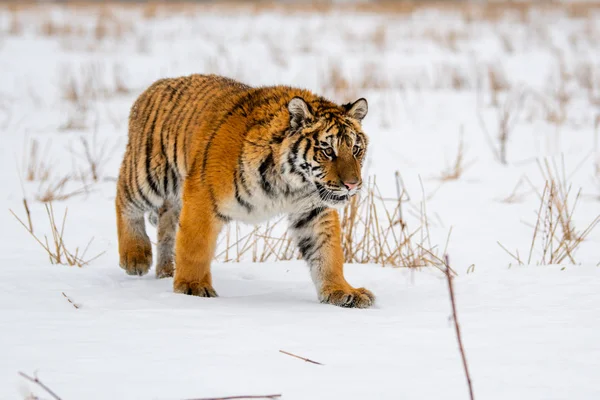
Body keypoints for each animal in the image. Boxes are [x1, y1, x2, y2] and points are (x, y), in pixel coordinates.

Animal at [114, 73, 372, 308]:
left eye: (356, 149)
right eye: (328, 151)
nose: (352, 184)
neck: (291, 184)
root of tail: (155, 86)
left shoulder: (313, 211)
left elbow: (328, 252)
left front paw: (342, 291)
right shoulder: (201, 196)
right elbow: (195, 247)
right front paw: (192, 288)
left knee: (166, 228)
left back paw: (165, 272)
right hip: (149, 175)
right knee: (123, 199)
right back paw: (135, 257)